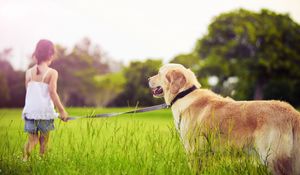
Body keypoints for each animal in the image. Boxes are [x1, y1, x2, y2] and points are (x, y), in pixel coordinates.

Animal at [149, 63, 300, 175]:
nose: (148, 79)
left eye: (159, 73)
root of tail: (292, 112)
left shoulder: (193, 151)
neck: (183, 94)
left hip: (272, 159)